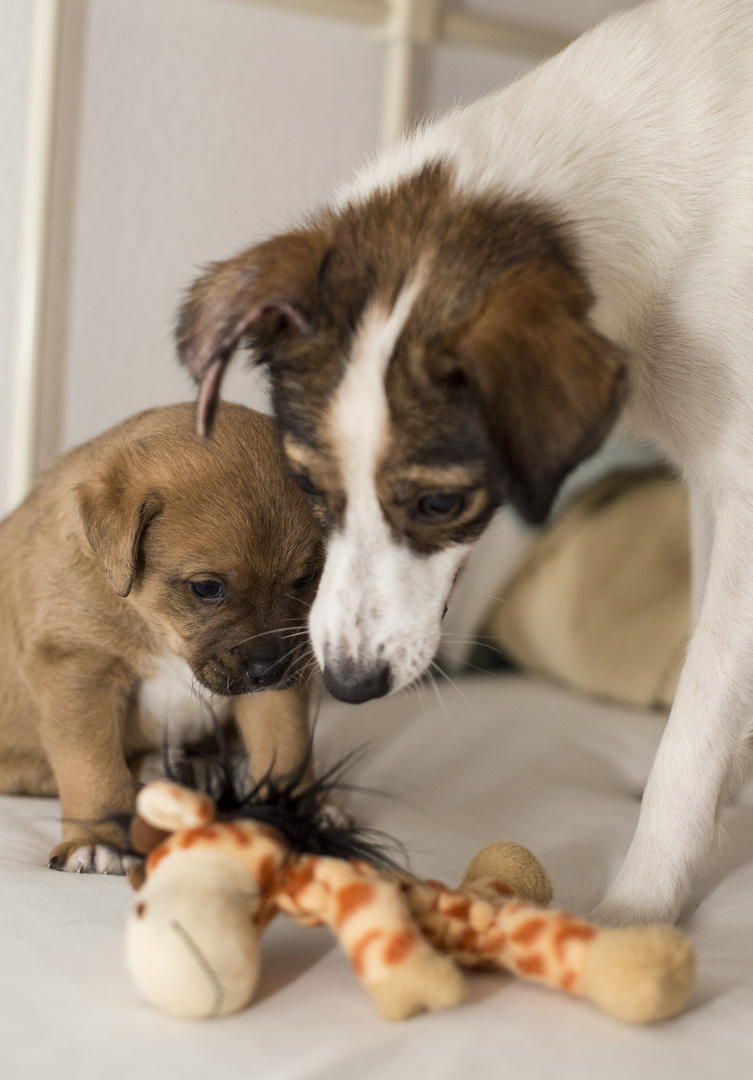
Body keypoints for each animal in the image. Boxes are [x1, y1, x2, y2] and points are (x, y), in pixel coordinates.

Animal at [0, 403, 319, 868]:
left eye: (308, 579)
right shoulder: (77, 668)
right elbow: (91, 766)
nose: (270, 670)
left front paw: (299, 816)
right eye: (207, 588)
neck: (157, 625)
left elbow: (286, 745)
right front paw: (98, 838)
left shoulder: (280, 680)